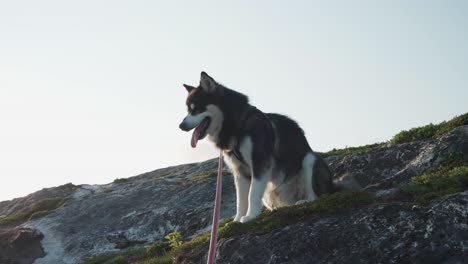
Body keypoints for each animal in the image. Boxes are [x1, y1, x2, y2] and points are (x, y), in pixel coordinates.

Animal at [179, 72, 336, 223]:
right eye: (188, 110)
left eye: (196, 109)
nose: (181, 126)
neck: (237, 125)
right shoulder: (239, 171)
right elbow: (240, 200)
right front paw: (237, 219)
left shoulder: (260, 162)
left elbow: (252, 194)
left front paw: (251, 216)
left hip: (309, 159)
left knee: (316, 195)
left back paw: (304, 201)